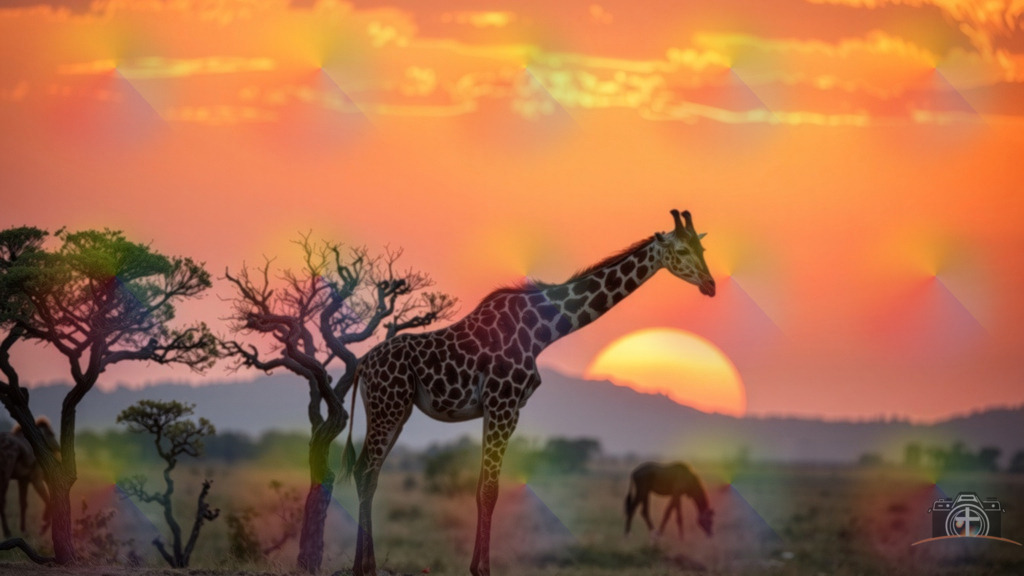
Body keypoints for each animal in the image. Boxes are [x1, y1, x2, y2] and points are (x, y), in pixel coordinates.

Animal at [343, 209, 715, 576]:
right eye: (682, 250)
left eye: (703, 249)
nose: (710, 285)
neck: (542, 330)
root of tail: (363, 365)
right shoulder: (502, 403)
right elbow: (489, 490)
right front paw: (482, 569)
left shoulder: (504, 408)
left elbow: (482, 488)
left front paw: (477, 565)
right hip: (388, 405)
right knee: (366, 471)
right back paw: (365, 567)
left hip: (395, 410)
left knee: (367, 472)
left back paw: (365, 565)